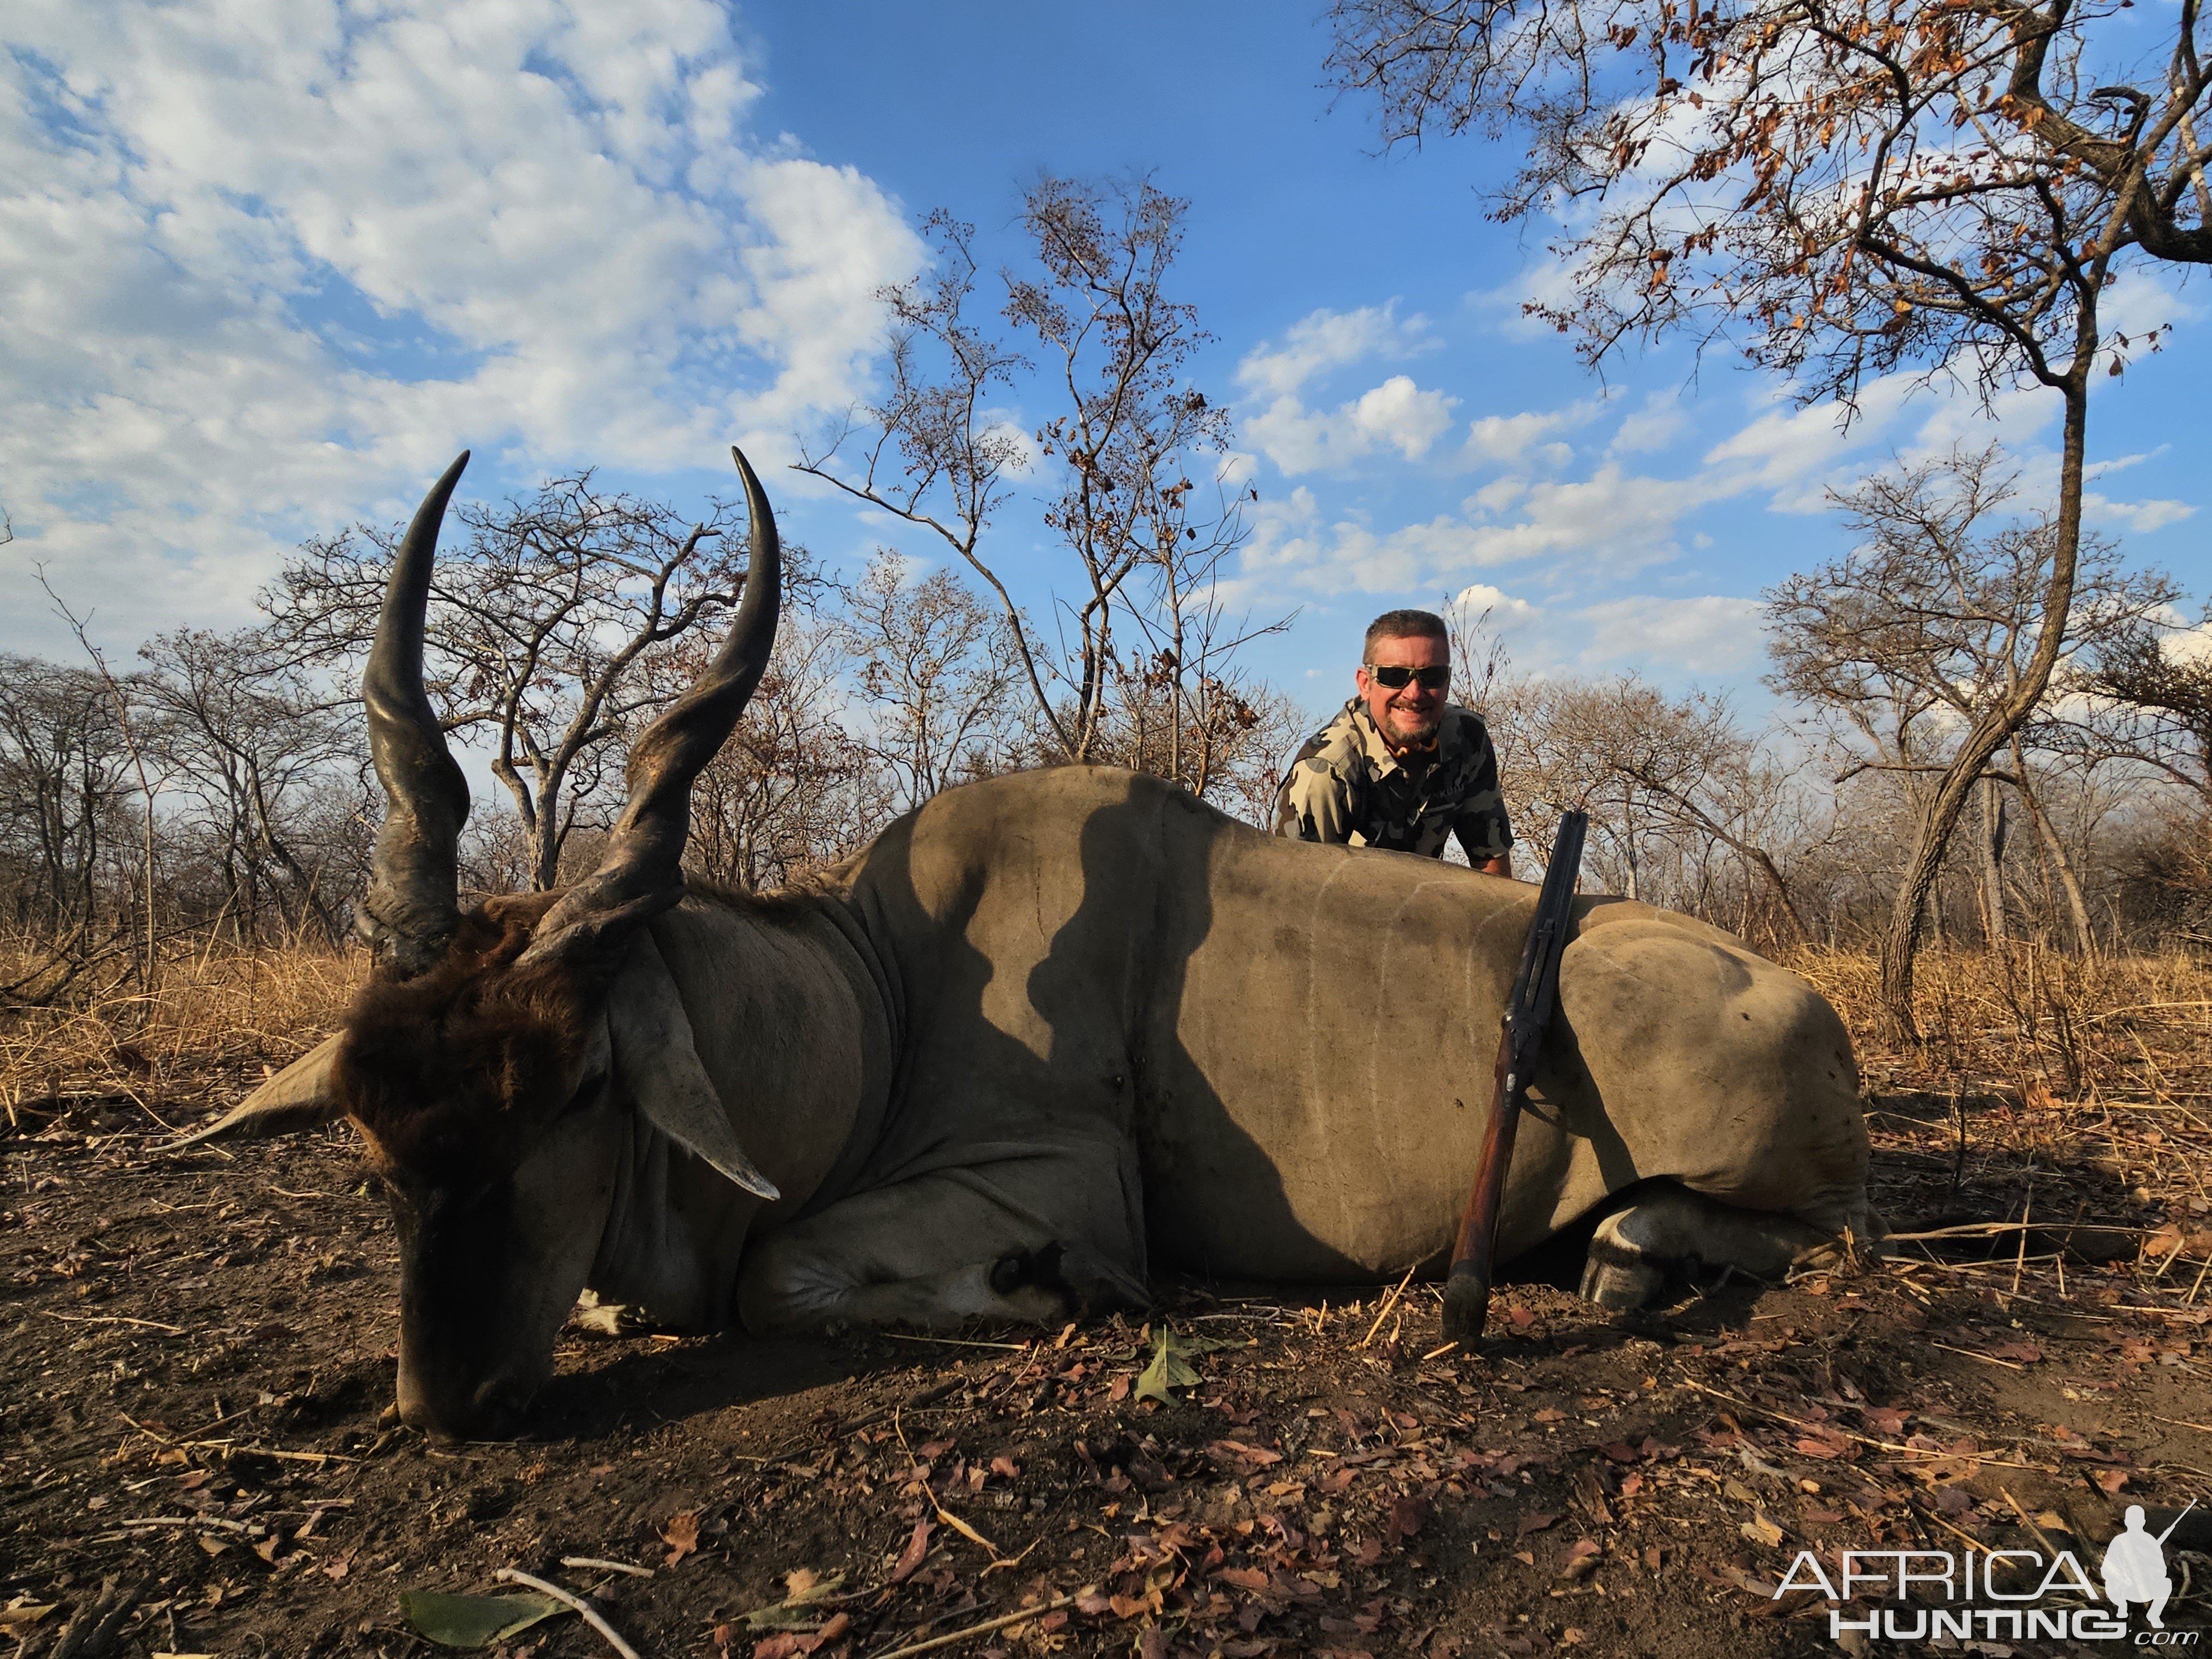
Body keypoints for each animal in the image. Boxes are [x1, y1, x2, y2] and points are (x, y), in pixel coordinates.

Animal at [181, 451, 1876, 1442]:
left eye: (582, 1089)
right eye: (372, 1141)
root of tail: (1811, 1012)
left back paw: (1632, 1250)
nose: (446, 1402)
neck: (877, 998)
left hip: (1769, 1168)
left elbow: (781, 1274)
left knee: (1822, 1234)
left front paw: (1051, 1295)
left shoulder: (1053, 1179)